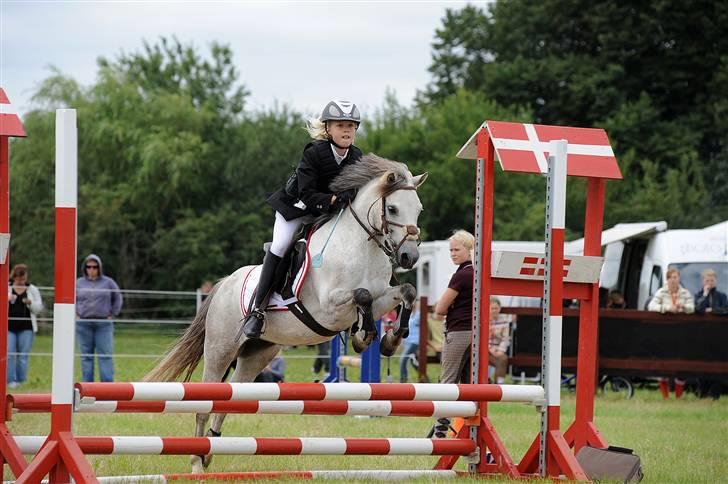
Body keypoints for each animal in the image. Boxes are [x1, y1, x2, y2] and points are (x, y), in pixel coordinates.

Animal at [145, 154, 428, 473]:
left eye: (418, 209)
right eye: (392, 208)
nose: (410, 257)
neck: (361, 247)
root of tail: (223, 285)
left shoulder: (380, 297)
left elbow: (405, 292)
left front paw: (390, 340)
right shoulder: (329, 308)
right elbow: (362, 296)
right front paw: (363, 336)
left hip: (257, 355)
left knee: (230, 398)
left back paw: (210, 452)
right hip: (220, 350)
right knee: (206, 404)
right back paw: (196, 462)